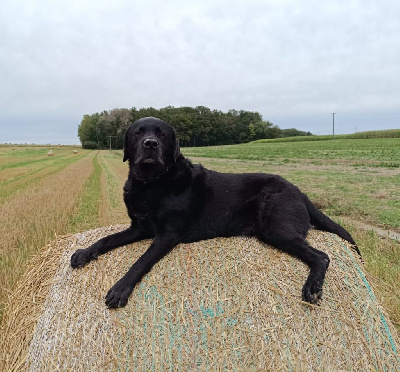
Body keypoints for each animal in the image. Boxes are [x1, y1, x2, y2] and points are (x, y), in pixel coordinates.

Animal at [69, 118, 360, 308]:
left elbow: (140, 262)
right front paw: (84, 252)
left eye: (161, 134)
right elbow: (105, 239)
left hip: (277, 228)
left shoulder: (167, 235)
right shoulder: (138, 228)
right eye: (138, 133)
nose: (149, 144)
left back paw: (312, 288)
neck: (152, 183)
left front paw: (120, 289)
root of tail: (298, 190)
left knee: (322, 256)